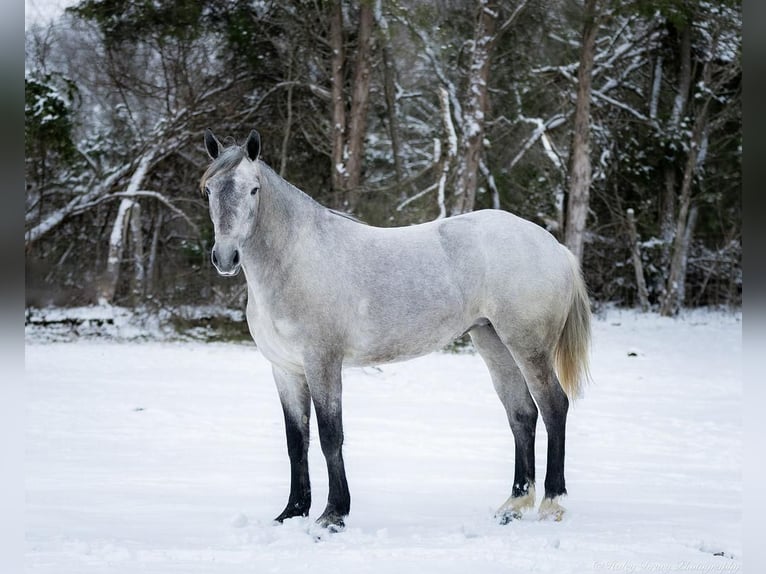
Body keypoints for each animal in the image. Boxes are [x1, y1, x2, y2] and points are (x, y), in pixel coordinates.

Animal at [201, 129, 592, 532]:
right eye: (209, 190)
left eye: (253, 189)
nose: (226, 258)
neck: (296, 260)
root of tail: (554, 246)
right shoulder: (285, 369)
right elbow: (297, 441)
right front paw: (292, 512)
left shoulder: (322, 363)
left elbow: (329, 436)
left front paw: (333, 515)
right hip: (494, 342)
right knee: (522, 414)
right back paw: (514, 504)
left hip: (528, 346)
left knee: (553, 406)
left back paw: (552, 503)